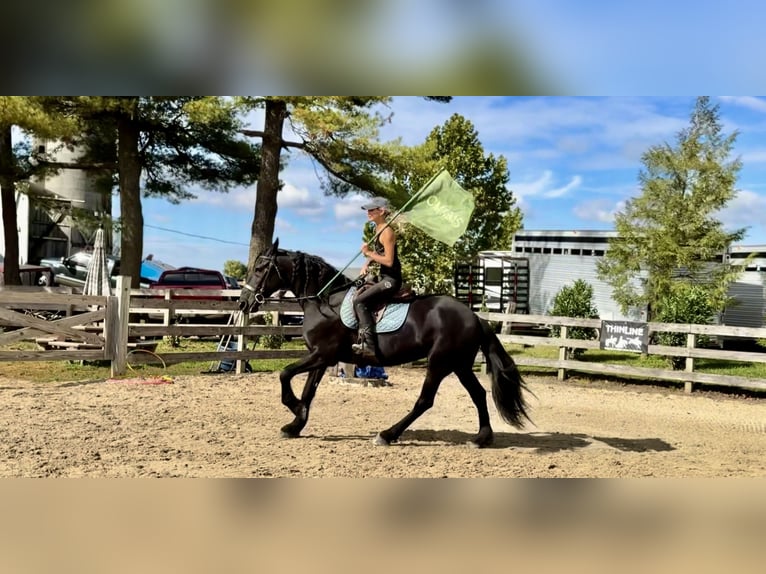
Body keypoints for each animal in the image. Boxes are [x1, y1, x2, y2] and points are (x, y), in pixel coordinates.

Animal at [238, 238, 531, 447]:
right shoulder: (321, 358)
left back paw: (388, 435)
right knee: (478, 394)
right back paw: (482, 438)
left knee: (425, 401)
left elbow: (285, 374)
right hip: (459, 365)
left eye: (261, 268)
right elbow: (309, 390)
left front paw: (294, 408)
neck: (324, 302)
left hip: (440, 363)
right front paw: (295, 425)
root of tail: (474, 316)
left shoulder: (322, 354)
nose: (243, 302)